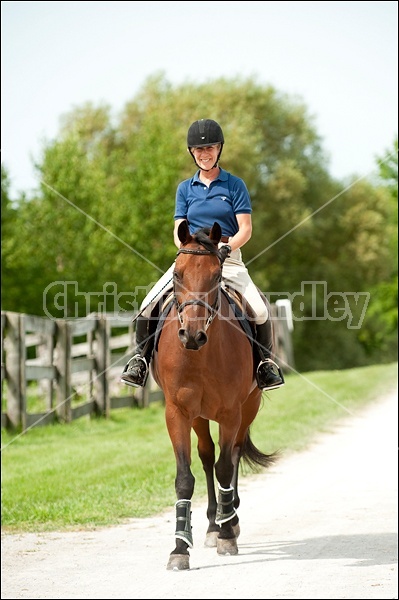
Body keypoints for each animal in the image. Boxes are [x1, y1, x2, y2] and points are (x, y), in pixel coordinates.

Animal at [152, 221, 276, 572]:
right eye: (178, 273)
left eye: (216, 275)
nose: (192, 335)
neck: (200, 354)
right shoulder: (177, 412)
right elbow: (185, 477)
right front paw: (180, 549)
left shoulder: (232, 412)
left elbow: (225, 468)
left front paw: (227, 536)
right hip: (198, 416)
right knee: (207, 456)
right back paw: (211, 524)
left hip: (247, 409)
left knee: (230, 455)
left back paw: (228, 519)